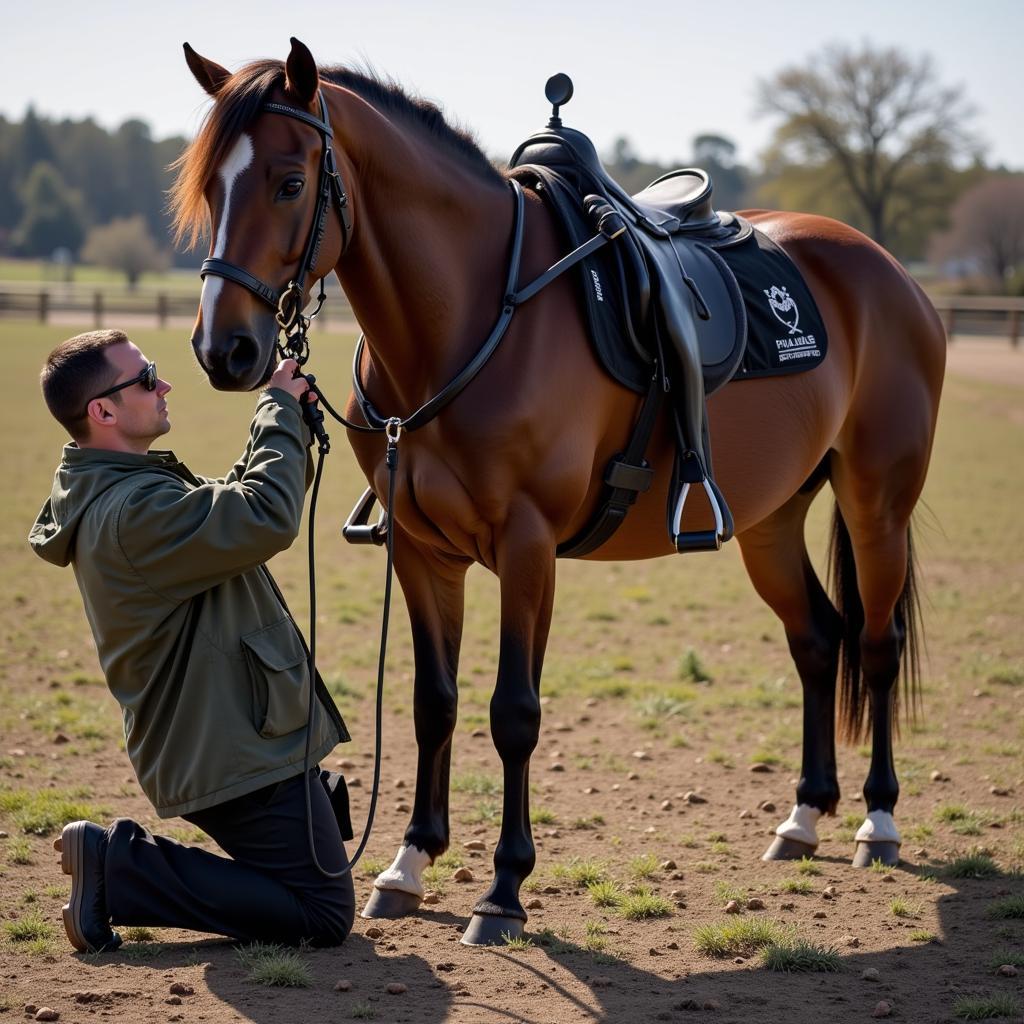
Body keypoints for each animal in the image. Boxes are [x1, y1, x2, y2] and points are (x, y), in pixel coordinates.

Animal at [174, 39, 942, 942]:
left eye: (290, 182)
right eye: (210, 187)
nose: (223, 349)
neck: (468, 318)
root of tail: (887, 268)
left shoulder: (528, 547)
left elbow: (514, 712)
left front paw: (503, 890)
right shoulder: (424, 554)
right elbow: (434, 703)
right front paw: (408, 864)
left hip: (875, 503)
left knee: (877, 645)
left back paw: (876, 821)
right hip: (770, 521)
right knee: (818, 638)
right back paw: (804, 817)